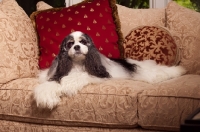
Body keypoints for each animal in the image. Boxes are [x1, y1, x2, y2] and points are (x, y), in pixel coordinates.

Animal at [33, 31, 186, 109]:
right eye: (70, 44)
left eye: (83, 42)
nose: (76, 47)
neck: (77, 64)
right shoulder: (57, 74)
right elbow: (49, 85)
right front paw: (46, 98)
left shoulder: (98, 74)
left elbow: (79, 76)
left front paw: (67, 85)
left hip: (148, 73)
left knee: (162, 73)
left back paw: (179, 70)